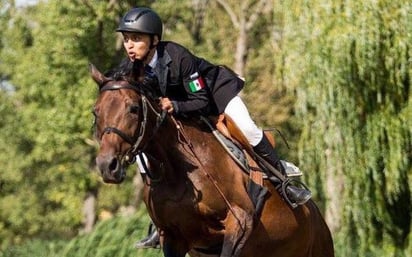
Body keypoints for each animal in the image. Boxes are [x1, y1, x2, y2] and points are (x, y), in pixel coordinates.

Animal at [90, 62, 334, 256]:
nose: (107, 165)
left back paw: (294, 191)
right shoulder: (172, 236)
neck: (176, 170)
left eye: (133, 108)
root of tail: (317, 215)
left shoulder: (240, 221)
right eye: (96, 112)